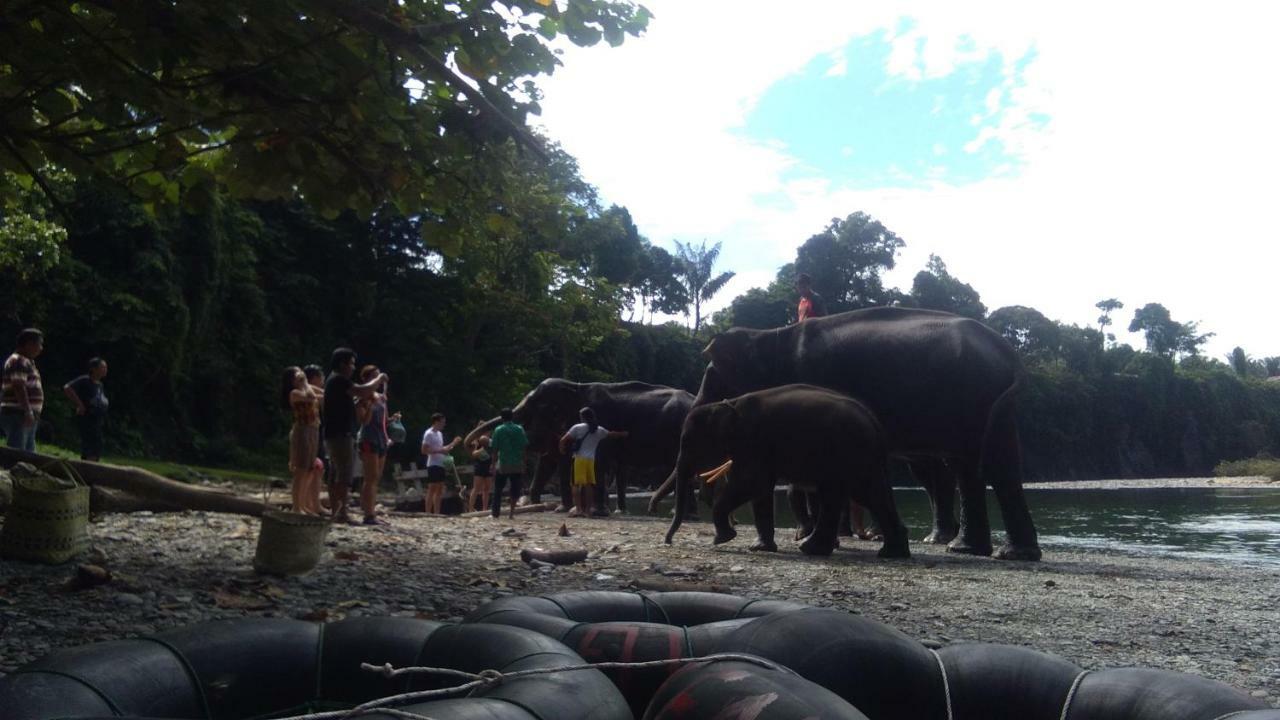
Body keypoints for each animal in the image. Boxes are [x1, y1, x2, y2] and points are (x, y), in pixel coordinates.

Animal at [465, 379, 696, 512]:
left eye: (535, 406)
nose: (473, 444)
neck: (575, 386)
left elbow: (574, 458)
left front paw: (570, 510)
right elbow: (549, 459)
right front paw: (542, 506)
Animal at [660, 381, 911, 556]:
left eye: (687, 441)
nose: (668, 541)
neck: (728, 404)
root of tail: (875, 423)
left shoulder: (752, 442)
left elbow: (751, 484)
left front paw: (722, 539)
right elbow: (760, 492)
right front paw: (759, 548)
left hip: (849, 453)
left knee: (850, 495)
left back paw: (813, 550)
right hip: (859, 458)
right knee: (868, 495)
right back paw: (890, 553)